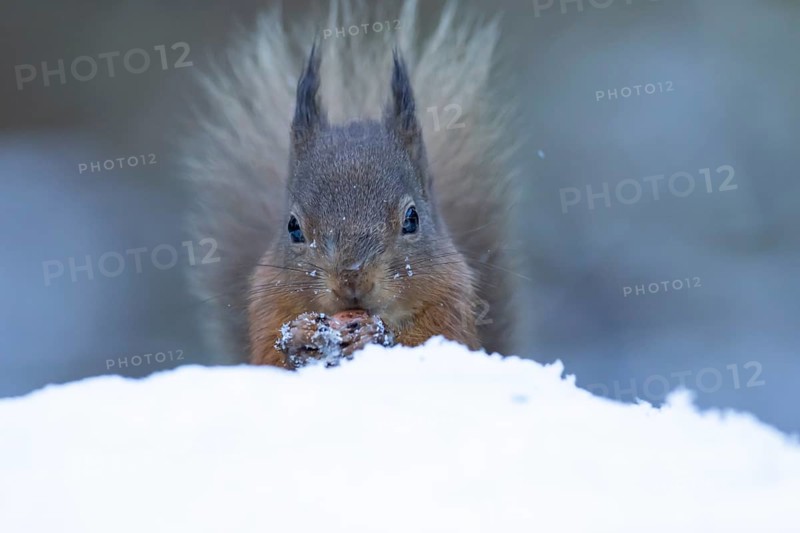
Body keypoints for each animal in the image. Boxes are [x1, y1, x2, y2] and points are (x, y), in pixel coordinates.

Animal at [182, 0, 518, 367]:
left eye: (412, 219)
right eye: (293, 227)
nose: (351, 277)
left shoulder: (452, 305)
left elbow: (432, 339)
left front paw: (376, 335)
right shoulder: (265, 307)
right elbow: (270, 353)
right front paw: (300, 336)